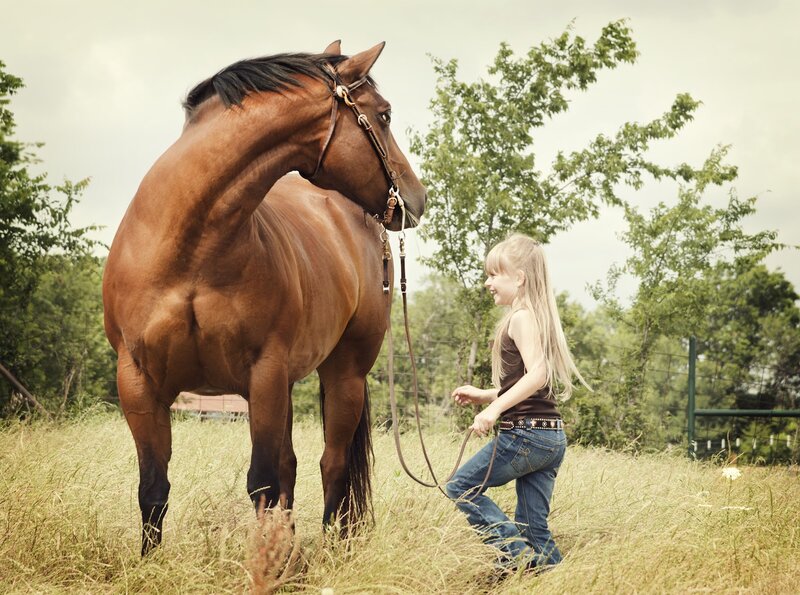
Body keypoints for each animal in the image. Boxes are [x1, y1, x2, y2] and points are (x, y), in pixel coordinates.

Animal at [102, 41, 427, 555]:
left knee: (331, 464)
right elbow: (153, 486)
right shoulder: (137, 380)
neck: (191, 249)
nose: (416, 199)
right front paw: (148, 562)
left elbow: (262, 481)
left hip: (345, 374)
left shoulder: (264, 374)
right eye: (385, 114)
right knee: (294, 467)